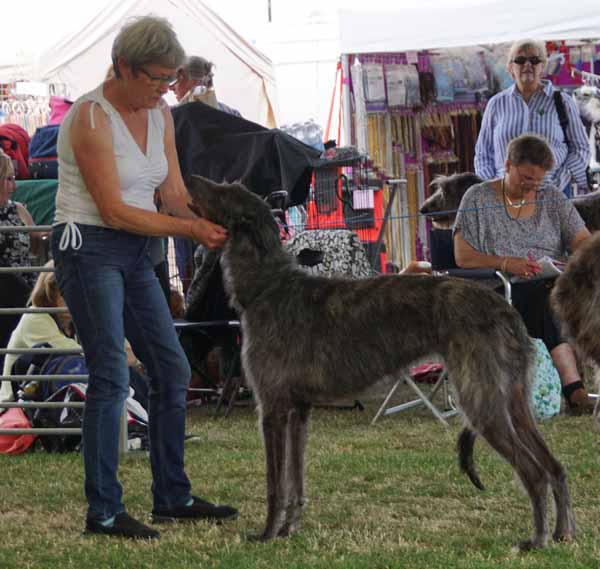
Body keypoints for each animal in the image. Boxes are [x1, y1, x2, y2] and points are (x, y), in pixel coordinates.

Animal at [188, 175, 576, 548]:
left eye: (223, 191)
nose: (189, 178)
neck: (267, 287)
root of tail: (506, 310)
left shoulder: (272, 408)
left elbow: (275, 484)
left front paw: (268, 533)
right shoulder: (299, 410)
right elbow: (295, 481)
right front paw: (289, 529)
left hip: (482, 400)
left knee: (534, 473)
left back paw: (537, 539)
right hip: (512, 400)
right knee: (555, 467)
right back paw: (562, 533)